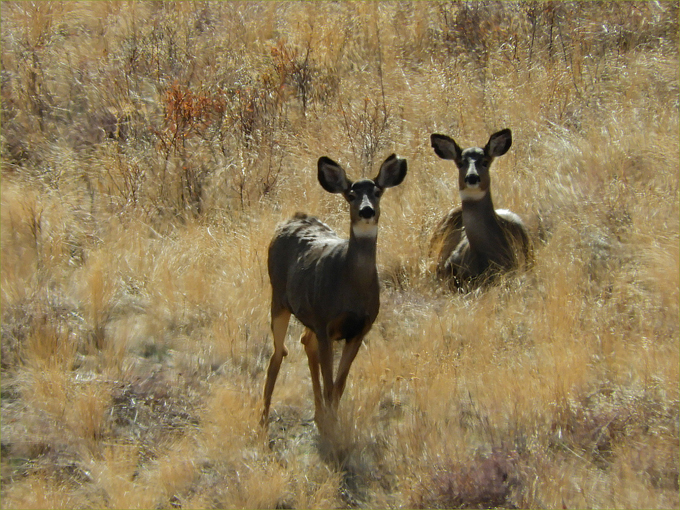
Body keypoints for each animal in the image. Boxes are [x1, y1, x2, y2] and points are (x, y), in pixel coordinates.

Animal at [262, 153, 406, 428]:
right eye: (350, 194)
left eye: (377, 192)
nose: (366, 210)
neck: (351, 289)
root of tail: (292, 218)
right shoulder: (325, 322)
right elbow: (330, 382)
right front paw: (330, 421)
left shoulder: (360, 329)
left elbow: (340, 384)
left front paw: (331, 417)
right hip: (278, 298)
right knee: (278, 353)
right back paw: (263, 417)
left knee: (304, 342)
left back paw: (317, 411)